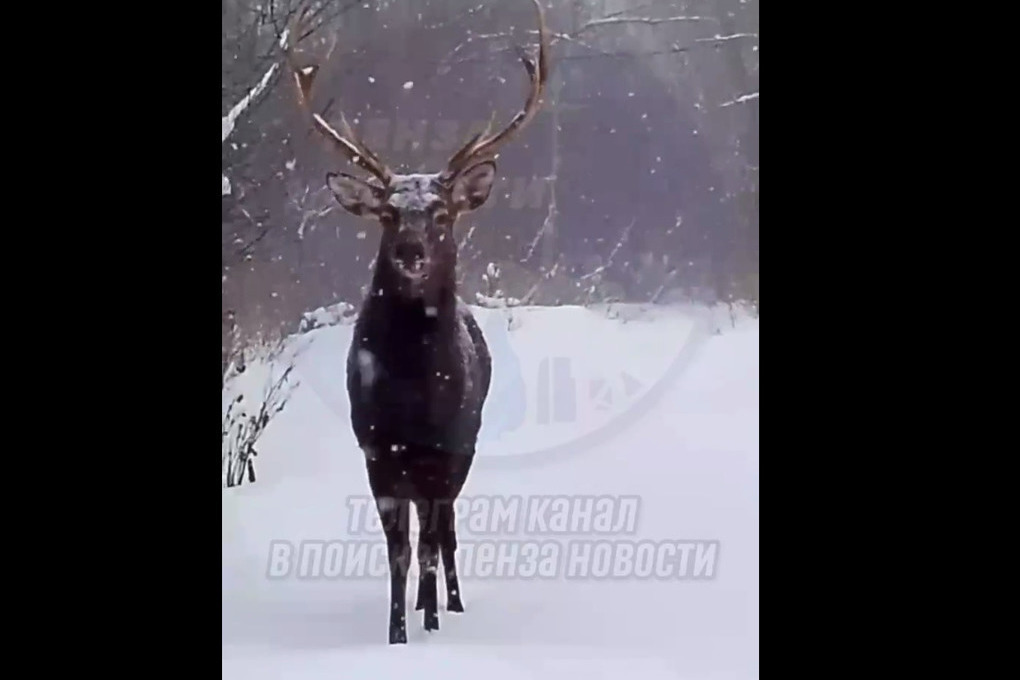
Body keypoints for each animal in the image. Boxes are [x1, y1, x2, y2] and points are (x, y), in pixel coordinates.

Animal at [279, 0, 550, 644]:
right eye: (386, 213)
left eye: (443, 213)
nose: (409, 251)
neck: (413, 393)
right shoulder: (377, 449)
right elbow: (397, 550)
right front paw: (396, 633)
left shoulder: (445, 449)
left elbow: (428, 541)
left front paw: (425, 624)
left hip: (465, 447)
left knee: (445, 527)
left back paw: (448, 603)